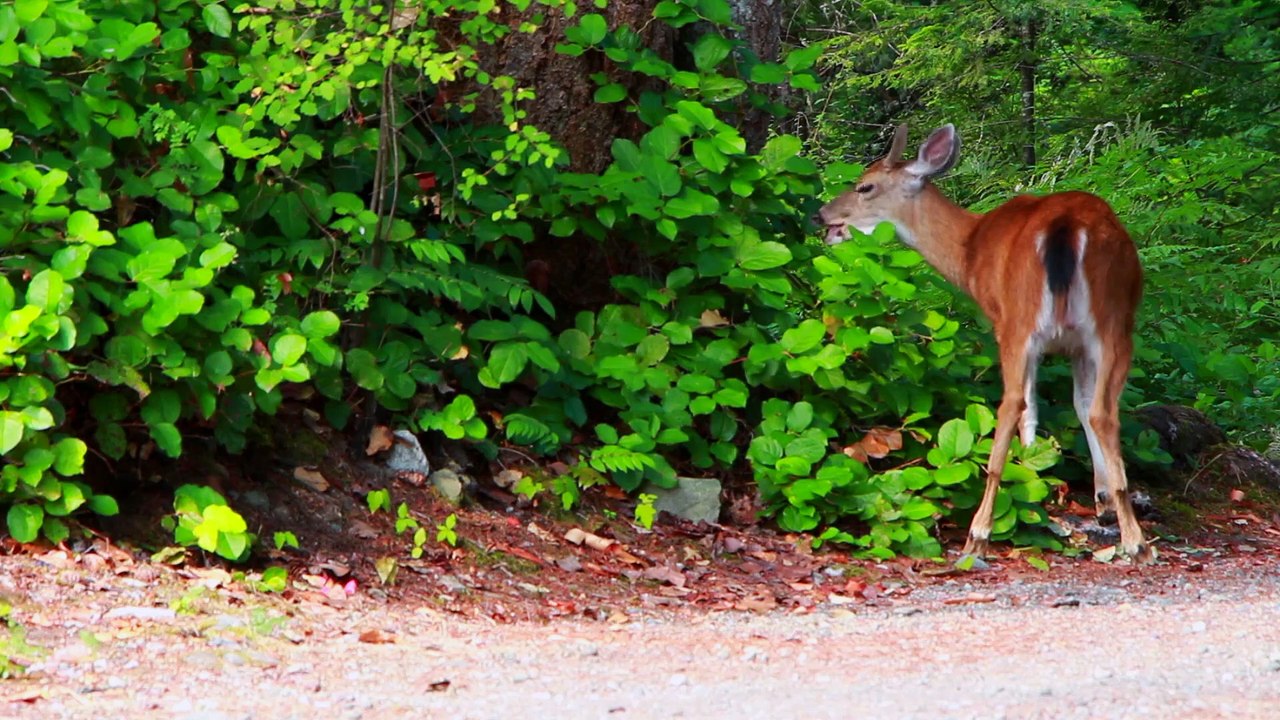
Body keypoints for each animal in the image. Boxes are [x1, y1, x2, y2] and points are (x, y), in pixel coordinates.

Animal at [817, 123, 1152, 564]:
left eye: (865, 186)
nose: (822, 215)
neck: (970, 249)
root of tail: (1066, 225)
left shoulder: (1009, 325)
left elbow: (1031, 412)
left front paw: (1032, 477)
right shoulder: (1077, 345)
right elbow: (1080, 406)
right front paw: (1102, 501)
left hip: (1021, 320)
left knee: (1011, 406)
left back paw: (979, 534)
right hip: (1114, 321)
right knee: (1103, 412)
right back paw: (1134, 538)